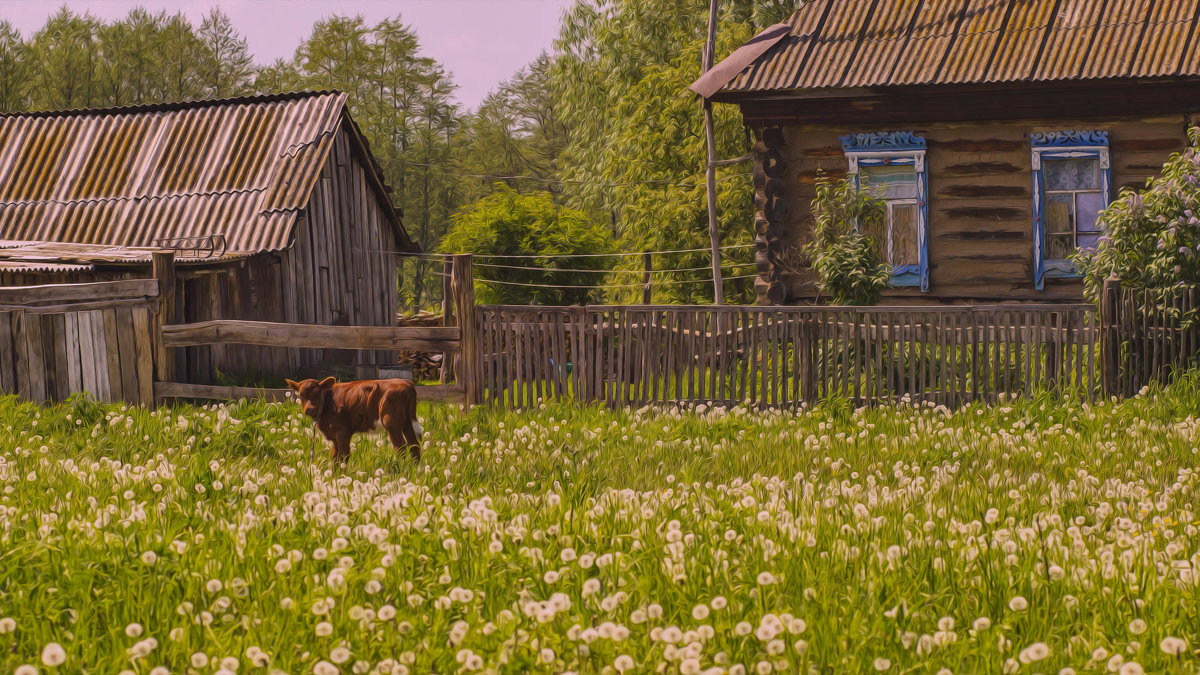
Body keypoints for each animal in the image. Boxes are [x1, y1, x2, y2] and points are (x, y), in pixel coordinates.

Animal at [284, 374, 424, 458]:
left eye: (317, 393)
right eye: (301, 394)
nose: (309, 409)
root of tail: (406, 383)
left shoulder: (342, 432)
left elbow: (343, 454)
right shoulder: (334, 434)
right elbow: (334, 456)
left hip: (392, 423)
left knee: (400, 447)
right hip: (407, 422)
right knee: (414, 446)